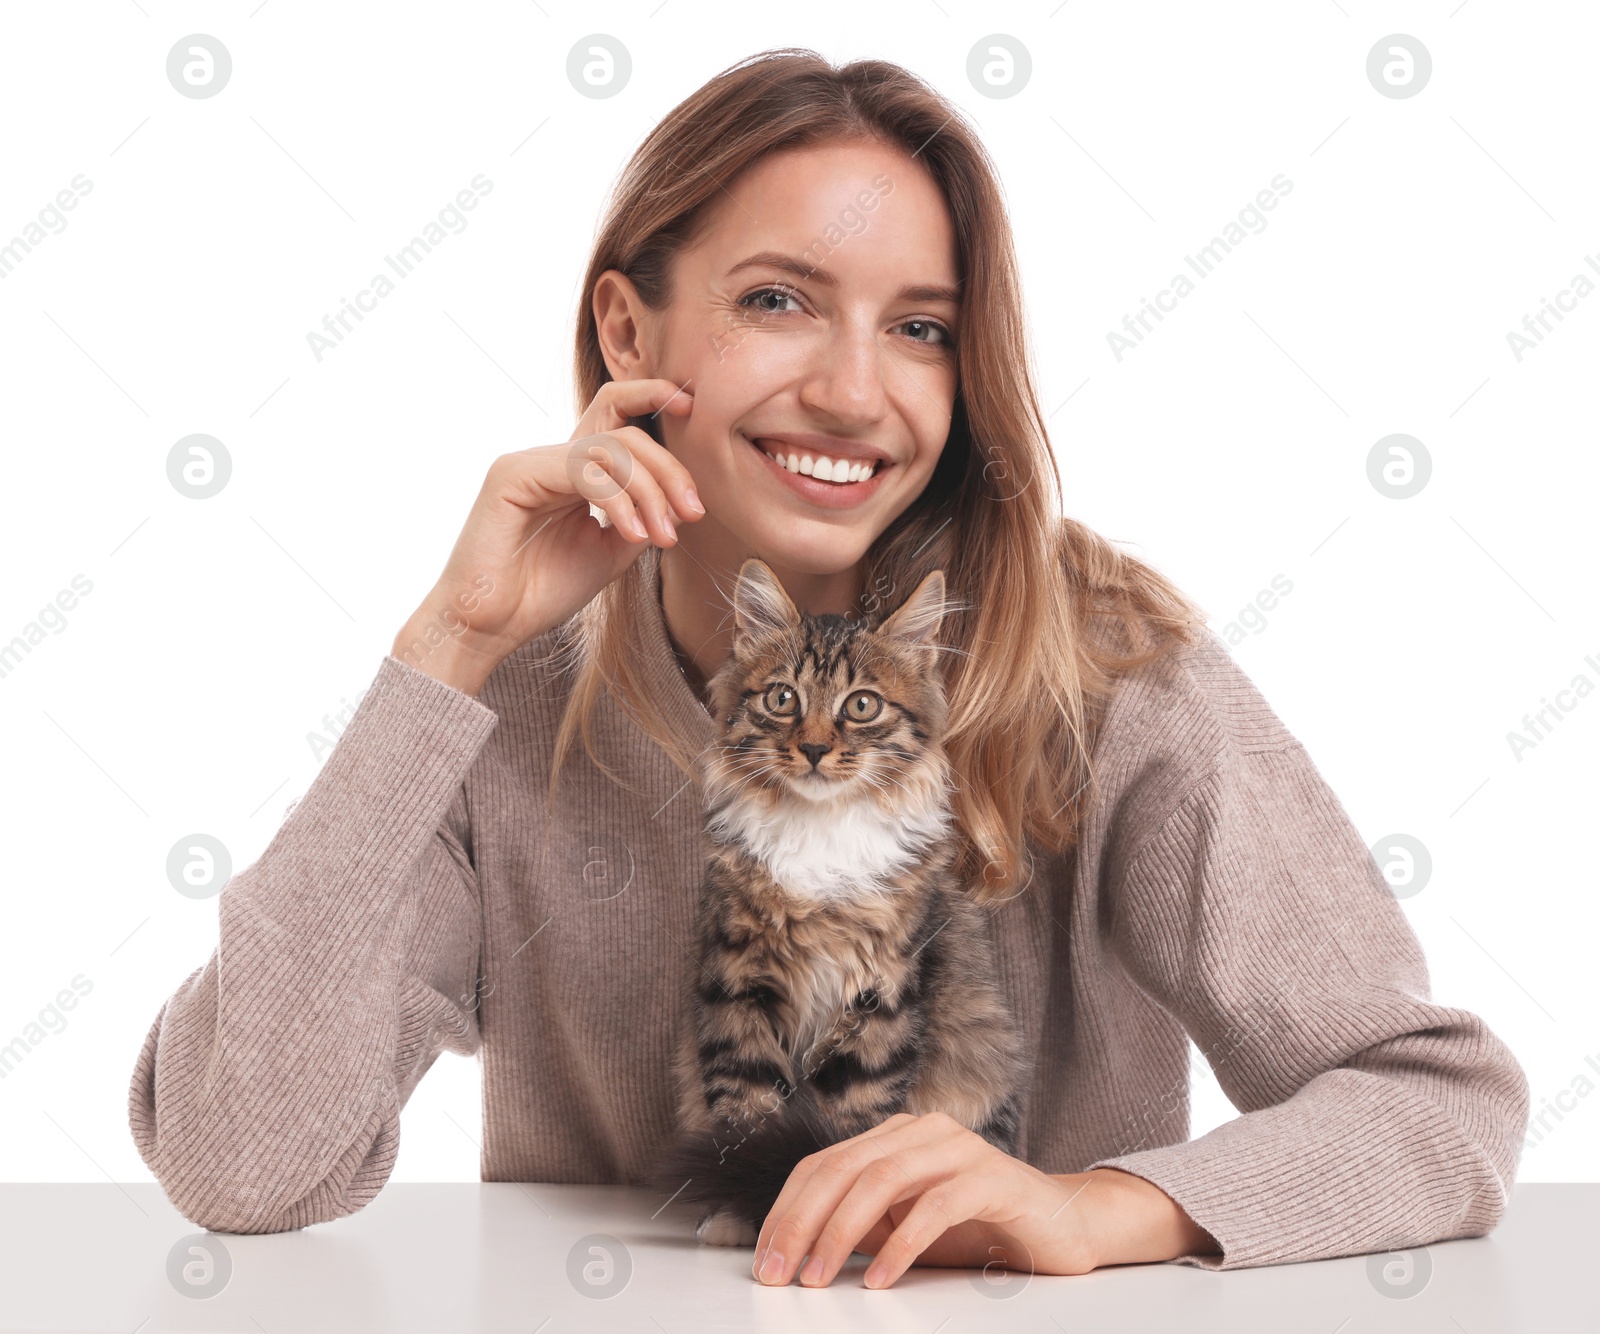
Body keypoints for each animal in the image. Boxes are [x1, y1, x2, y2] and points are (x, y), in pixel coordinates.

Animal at [656, 556, 1030, 1241]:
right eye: (783, 698)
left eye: (861, 705)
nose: (813, 748)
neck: (819, 832)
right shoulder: (739, 985)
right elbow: (745, 1114)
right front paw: (738, 1211)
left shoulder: (881, 996)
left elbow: (853, 1127)